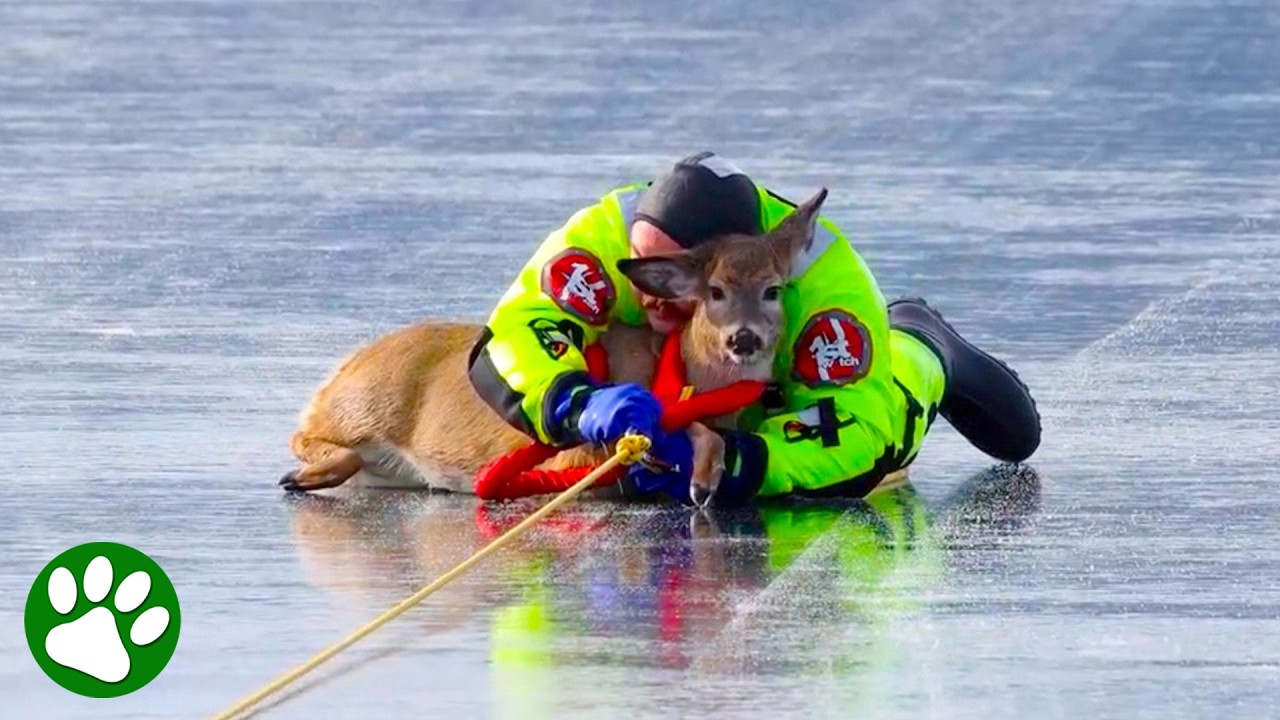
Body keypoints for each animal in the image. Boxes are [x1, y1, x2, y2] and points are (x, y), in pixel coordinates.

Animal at [278, 188, 831, 505]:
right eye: (714, 291)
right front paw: (696, 477)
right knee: (306, 435)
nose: (744, 337)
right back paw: (299, 476)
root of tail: (344, 364)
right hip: (361, 407)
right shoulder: (570, 458)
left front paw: (704, 480)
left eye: (773, 289)